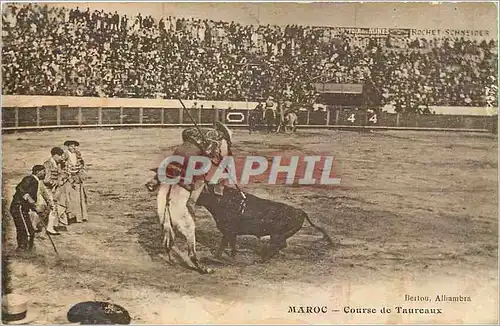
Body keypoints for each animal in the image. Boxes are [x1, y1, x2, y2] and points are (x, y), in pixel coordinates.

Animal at [197, 183, 334, 262]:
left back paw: (263, 258)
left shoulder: (228, 231)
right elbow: (232, 245)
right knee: (279, 245)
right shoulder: (231, 233)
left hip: (277, 234)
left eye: (201, 192)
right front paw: (232, 257)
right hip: (279, 235)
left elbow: (222, 245)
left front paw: (215, 258)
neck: (222, 201)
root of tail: (300, 211)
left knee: (279, 244)